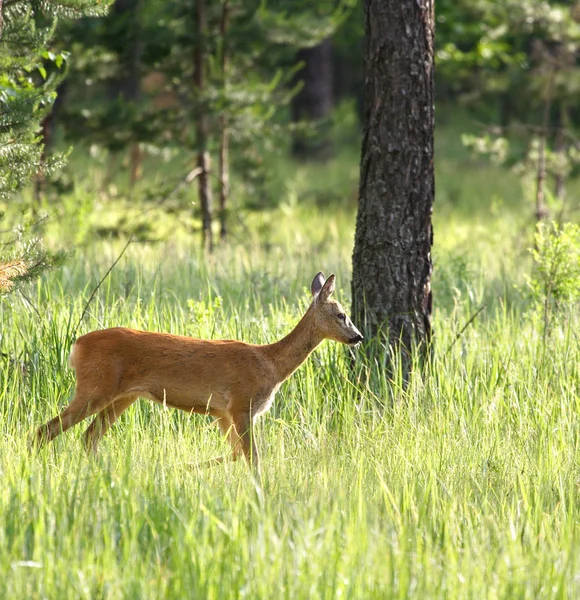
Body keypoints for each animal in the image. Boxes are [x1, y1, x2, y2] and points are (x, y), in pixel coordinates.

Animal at [32, 272, 362, 468]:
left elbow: (236, 454)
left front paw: (182, 469)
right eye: (341, 314)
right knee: (46, 429)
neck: (271, 363)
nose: (357, 337)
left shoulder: (222, 412)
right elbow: (253, 457)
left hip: (123, 397)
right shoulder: (241, 404)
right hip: (95, 386)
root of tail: (77, 346)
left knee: (89, 437)